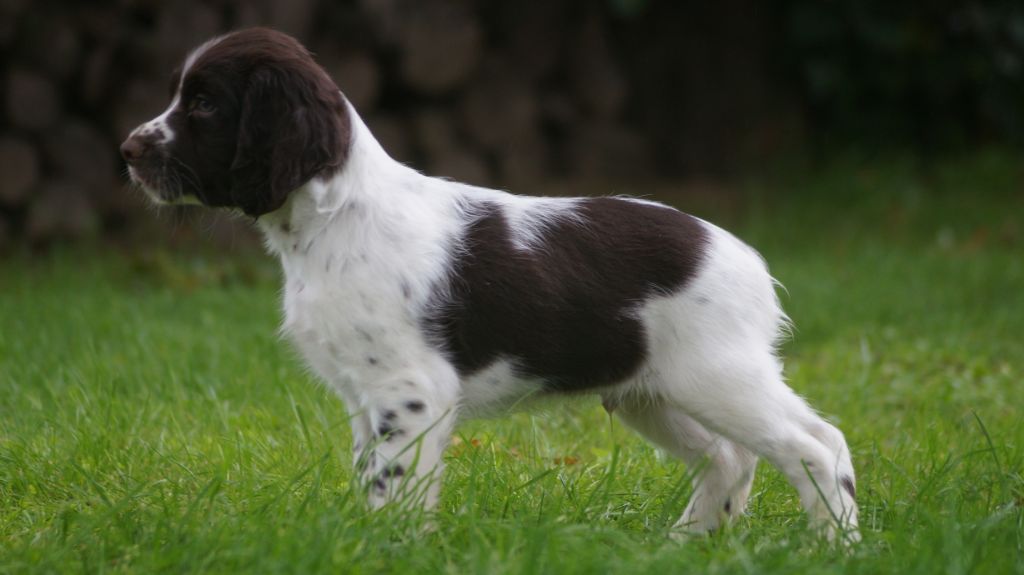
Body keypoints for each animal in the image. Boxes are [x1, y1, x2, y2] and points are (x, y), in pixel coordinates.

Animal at [119, 26, 856, 536]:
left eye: (205, 104)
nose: (126, 150)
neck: (334, 219)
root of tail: (744, 255)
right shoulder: (365, 398)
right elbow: (368, 478)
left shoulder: (411, 392)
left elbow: (393, 487)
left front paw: (387, 549)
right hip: (650, 391)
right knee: (733, 459)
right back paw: (685, 544)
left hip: (717, 376)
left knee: (816, 446)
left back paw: (837, 545)